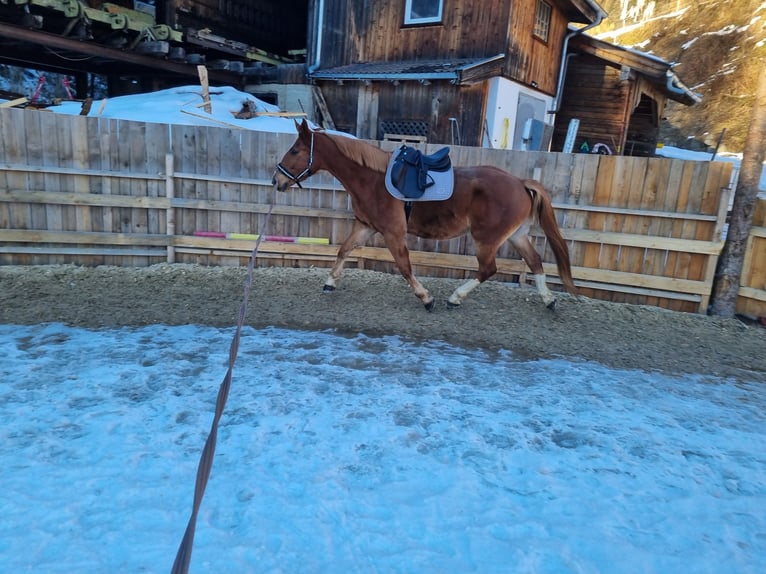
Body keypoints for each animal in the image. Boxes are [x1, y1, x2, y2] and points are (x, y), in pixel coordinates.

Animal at [276, 119, 576, 312]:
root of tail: (520, 182)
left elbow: (404, 267)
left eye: (295, 150)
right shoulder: (365, 226)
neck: (371, 179)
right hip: (516, 236)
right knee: (535, 262)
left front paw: (426, 298)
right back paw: (548, 300)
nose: (276, 180)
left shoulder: (393, 233)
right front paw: (330, 283)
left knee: (488, 269)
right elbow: (343, 250)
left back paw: (455, 298)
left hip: (487, 239)